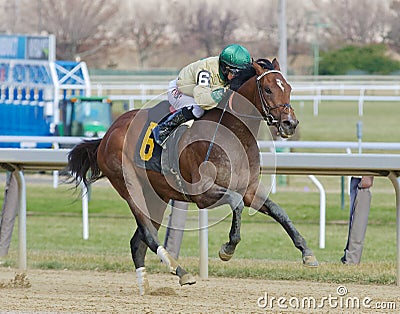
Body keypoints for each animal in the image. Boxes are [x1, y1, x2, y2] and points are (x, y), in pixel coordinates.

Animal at [69, 57, 318, 296]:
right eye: (267, 89)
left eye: (288, 87)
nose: (290, 123)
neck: (233, 135)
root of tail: (107, 134)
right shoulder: (203, 194)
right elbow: (236, 204)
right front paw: (227, 249)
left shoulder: (249, 189)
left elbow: (279, 212)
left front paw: (307, 253)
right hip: (130, 187)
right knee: (148, 235)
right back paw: (180, 271)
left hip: (156, 196)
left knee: (137, 242)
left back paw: (145, 286)